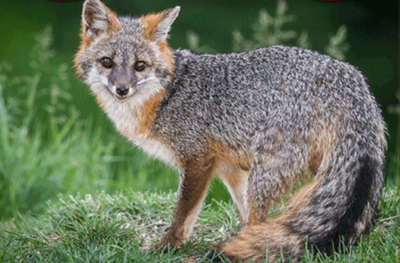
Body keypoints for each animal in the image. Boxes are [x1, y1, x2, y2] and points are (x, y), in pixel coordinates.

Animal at [73, 0, 386, 262]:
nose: (121, 89)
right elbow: (243, 215)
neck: (168, 94)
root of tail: (352, 81)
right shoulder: (229, 168)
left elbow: (183, 215)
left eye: (140, 66)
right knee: (260, 221)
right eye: (107, 62)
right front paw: (242, 241)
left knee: (262, 217)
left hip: (265, 171)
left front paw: (167, 246)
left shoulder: (198, 161)